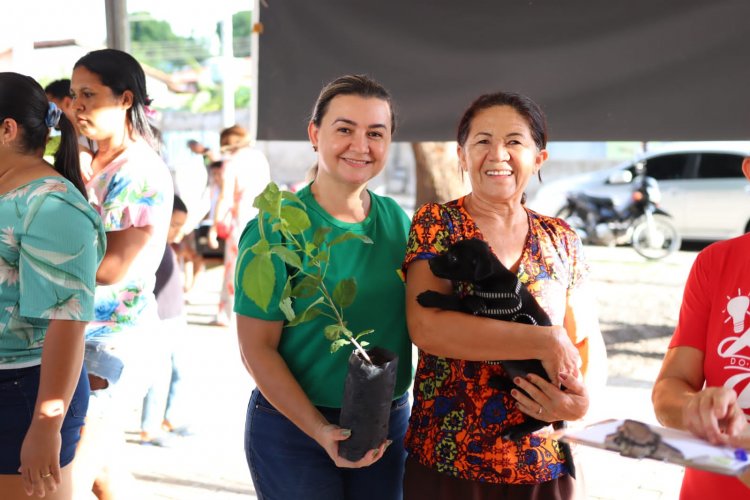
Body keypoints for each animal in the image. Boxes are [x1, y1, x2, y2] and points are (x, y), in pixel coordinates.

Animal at [418, 238, 576, 476]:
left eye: (454, 258)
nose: (429, 263)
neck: (493, 283)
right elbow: (468, 299)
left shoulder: (492, 314)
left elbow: (459, 301)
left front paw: (431, 297)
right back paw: (499, 382)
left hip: (538, 390)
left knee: (541, 420)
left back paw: (516, 430)